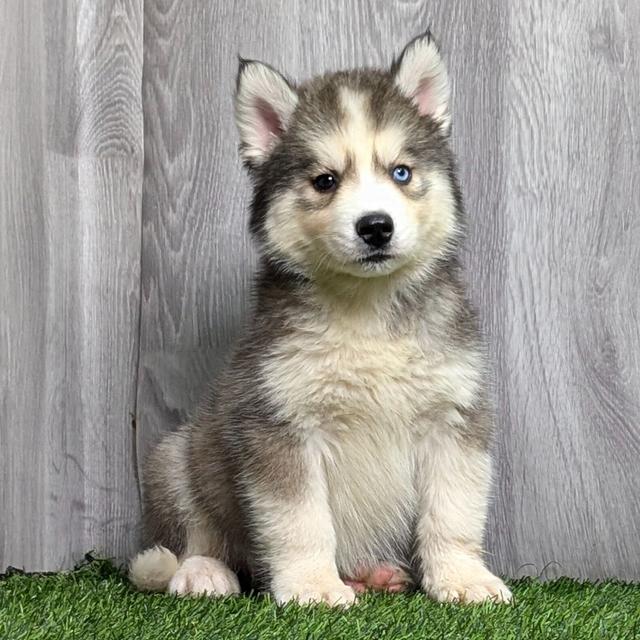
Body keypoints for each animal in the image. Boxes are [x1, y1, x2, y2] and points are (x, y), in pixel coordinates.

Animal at [129, 33, 510, 604]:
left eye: (401, 172)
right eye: (325, 181)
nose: (375, 226)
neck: (366, 310)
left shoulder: (454, 417)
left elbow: (453, 513)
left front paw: (463, 577)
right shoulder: (277, 424)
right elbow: (301, 521)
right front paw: (312, 586)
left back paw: (372, 574)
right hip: (177, 456)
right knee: (197, 532)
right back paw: (203, 572)